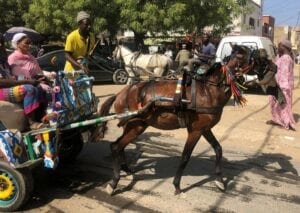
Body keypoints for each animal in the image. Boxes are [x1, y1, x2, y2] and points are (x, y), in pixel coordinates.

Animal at [98, 45, 251, 195]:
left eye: (251, 56)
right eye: (242, 57)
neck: (207, 91)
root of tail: (120, 93)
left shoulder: (204, 129)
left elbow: (218, 149)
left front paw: (219, 180)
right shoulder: (195, 131)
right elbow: (185, 157)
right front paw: (177, 184)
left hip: (132, 126)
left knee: (120, 145)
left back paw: (126, 168)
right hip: (136, 126)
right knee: (116, 146)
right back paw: (114, 181)